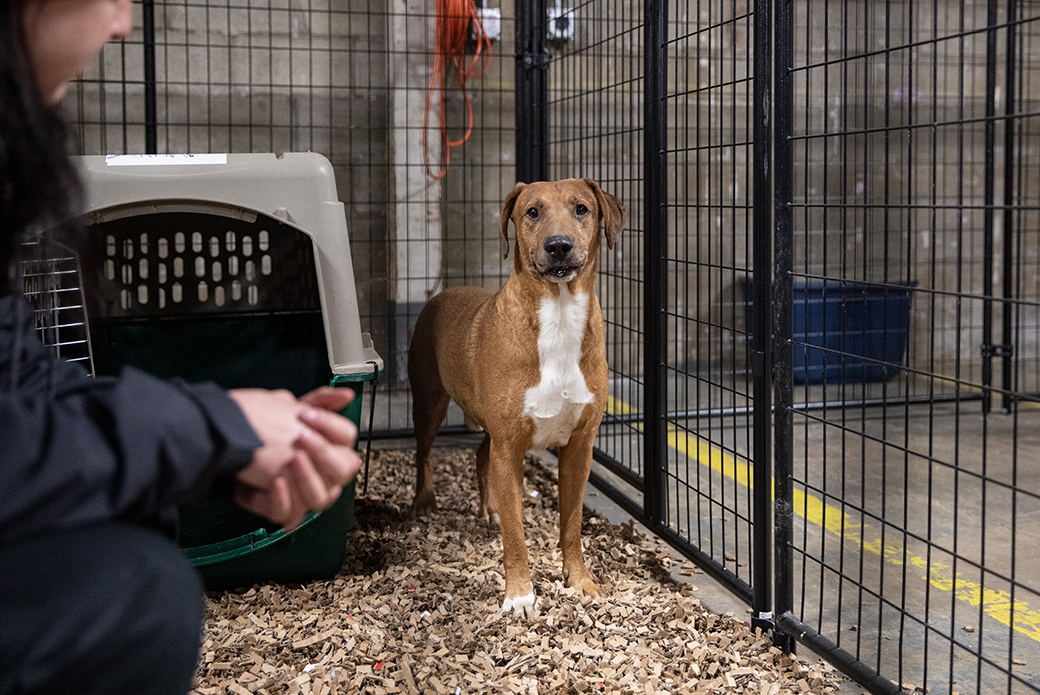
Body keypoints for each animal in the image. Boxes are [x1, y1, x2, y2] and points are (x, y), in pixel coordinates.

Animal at [407, 176, 624, 615]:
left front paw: (580, 582)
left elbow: (571, 526)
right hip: (430, 401)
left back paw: (488, 508)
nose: (558, 245)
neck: (559, 315)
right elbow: (516, 534)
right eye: (532, 212)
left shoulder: (578, 448)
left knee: (479, 455)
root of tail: (442, 292)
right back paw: (424, 500)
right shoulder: (508, 448)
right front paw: (520, 595)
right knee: (424, 451)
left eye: (581, 208)